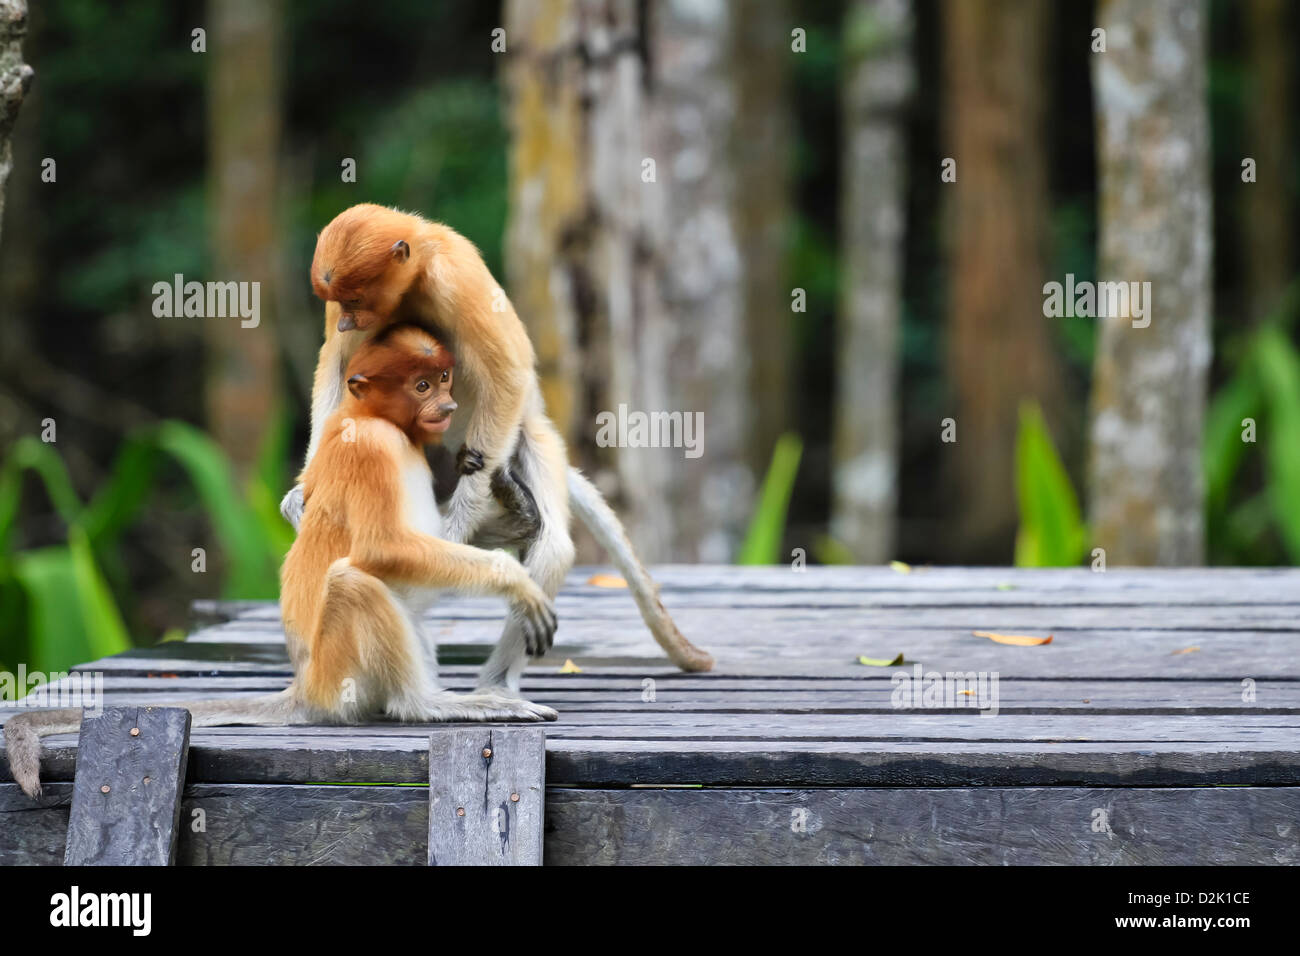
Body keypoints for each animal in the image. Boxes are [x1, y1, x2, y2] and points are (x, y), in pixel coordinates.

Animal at [4, 325, 557, 800]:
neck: (376, 417)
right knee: (353, 581)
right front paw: (519, 584)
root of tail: (305, 688)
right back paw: (425, 705)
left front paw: (517, 507)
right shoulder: (369, 448)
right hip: (338, 673)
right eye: (421, 385)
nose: (447, 405)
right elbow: (384, 548)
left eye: (443, 378)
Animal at [280, 204, 713, 695]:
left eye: (355, 297)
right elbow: (335, 367)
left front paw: (459, 523)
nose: (347, 321)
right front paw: (301, 495)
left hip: (530, 439)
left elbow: (506, 374)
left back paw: (496, 680)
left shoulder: (456, 278)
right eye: (339, 300)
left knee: (550, 546)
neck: (418, 270)